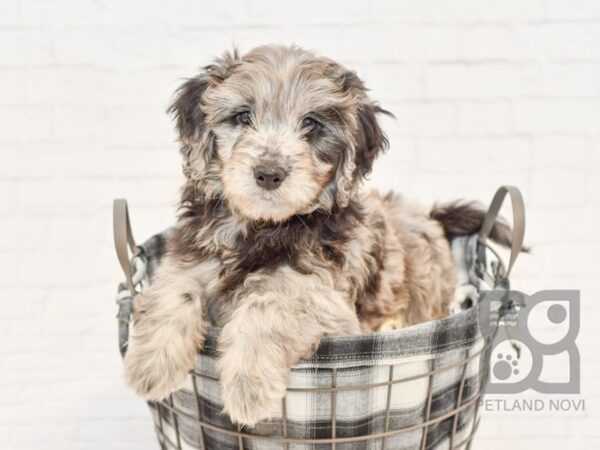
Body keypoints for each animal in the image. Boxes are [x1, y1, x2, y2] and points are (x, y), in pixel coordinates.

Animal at [124, 44, 512, 426]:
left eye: (311, 123)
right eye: (243, 116)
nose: (268, 173)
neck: (264, 226)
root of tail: (431, 217)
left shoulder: (327, 303)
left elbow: (269, 302)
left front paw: (248, 386)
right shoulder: (190, 258)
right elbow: (172, 290)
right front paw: (150, 365)